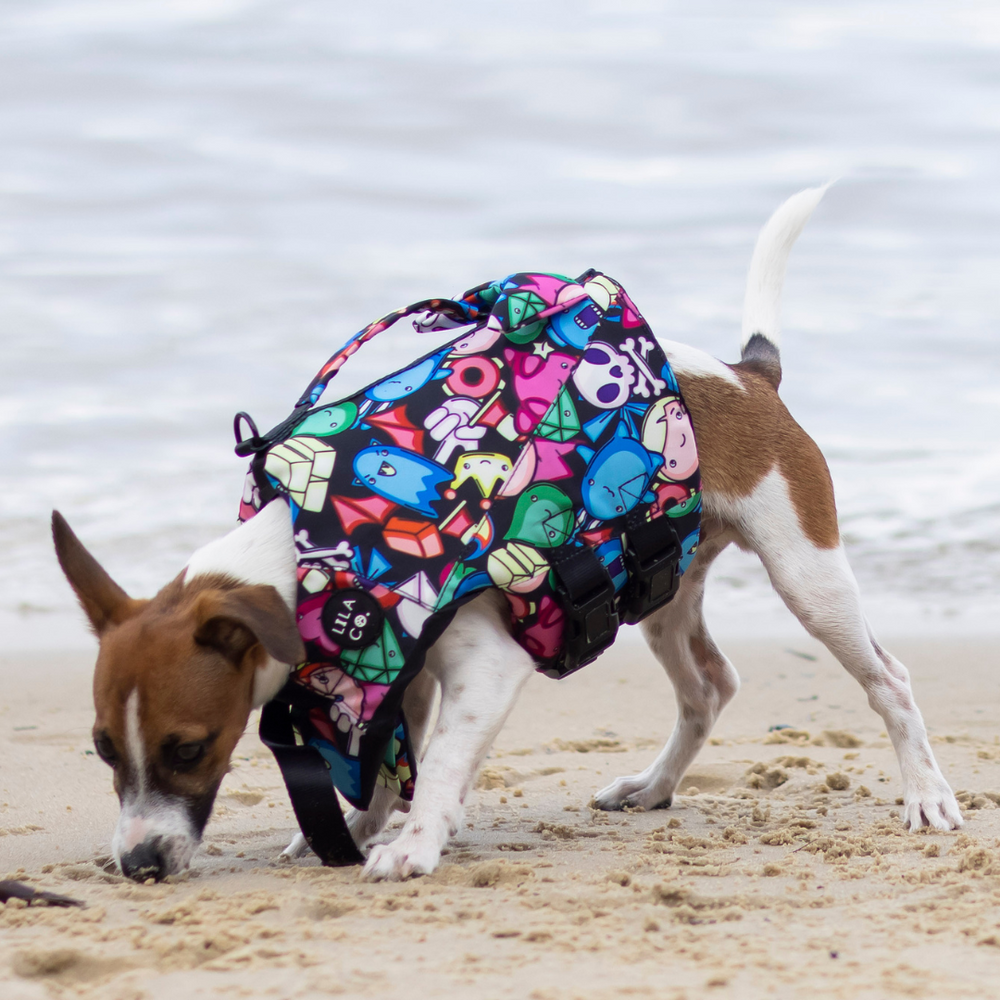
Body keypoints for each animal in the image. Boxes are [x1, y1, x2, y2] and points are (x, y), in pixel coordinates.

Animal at [52, 188, 960, 884]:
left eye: (188, 746)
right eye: (102, 750)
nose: (138, 865)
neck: (315, 543)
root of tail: (749, 375)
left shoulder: (484, 669)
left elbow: (439, 765)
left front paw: (414, 842)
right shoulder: (400, 673)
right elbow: (390, 764)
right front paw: (370, 824)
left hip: (809, 577)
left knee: (890, 681)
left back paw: (925, 793)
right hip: (663, 583)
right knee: (709, 688)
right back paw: (653, 786)